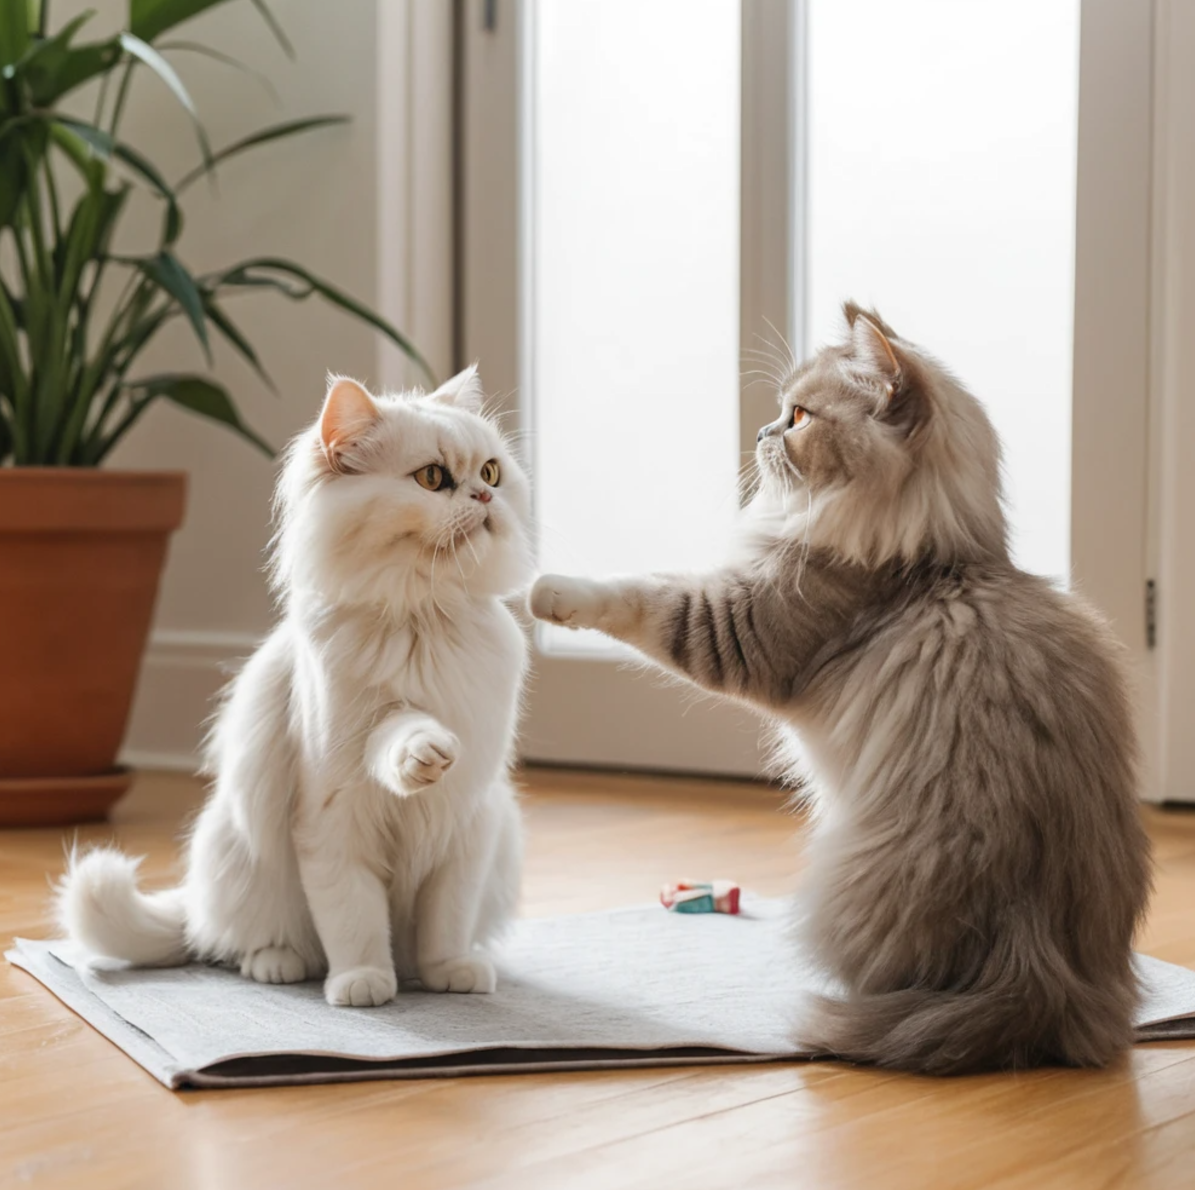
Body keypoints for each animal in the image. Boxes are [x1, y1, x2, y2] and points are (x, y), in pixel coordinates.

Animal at [58, 365, 530, 1003]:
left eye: (491, 472)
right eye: (433, 478)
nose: (484, 497)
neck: (422, 618)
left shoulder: (468, 823)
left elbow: (445, 923)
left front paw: (450, 975)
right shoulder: (335, 803)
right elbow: (355, 918)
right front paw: (363, 985)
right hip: (238, 853)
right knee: (246, 943)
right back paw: (282, 964)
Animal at [530, 302, 1147, 1075]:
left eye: (797, 416)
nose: (760, 433)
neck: (929, 560)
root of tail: (1036, 971)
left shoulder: (733, 626)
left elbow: (636, 591)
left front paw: (541, 589)